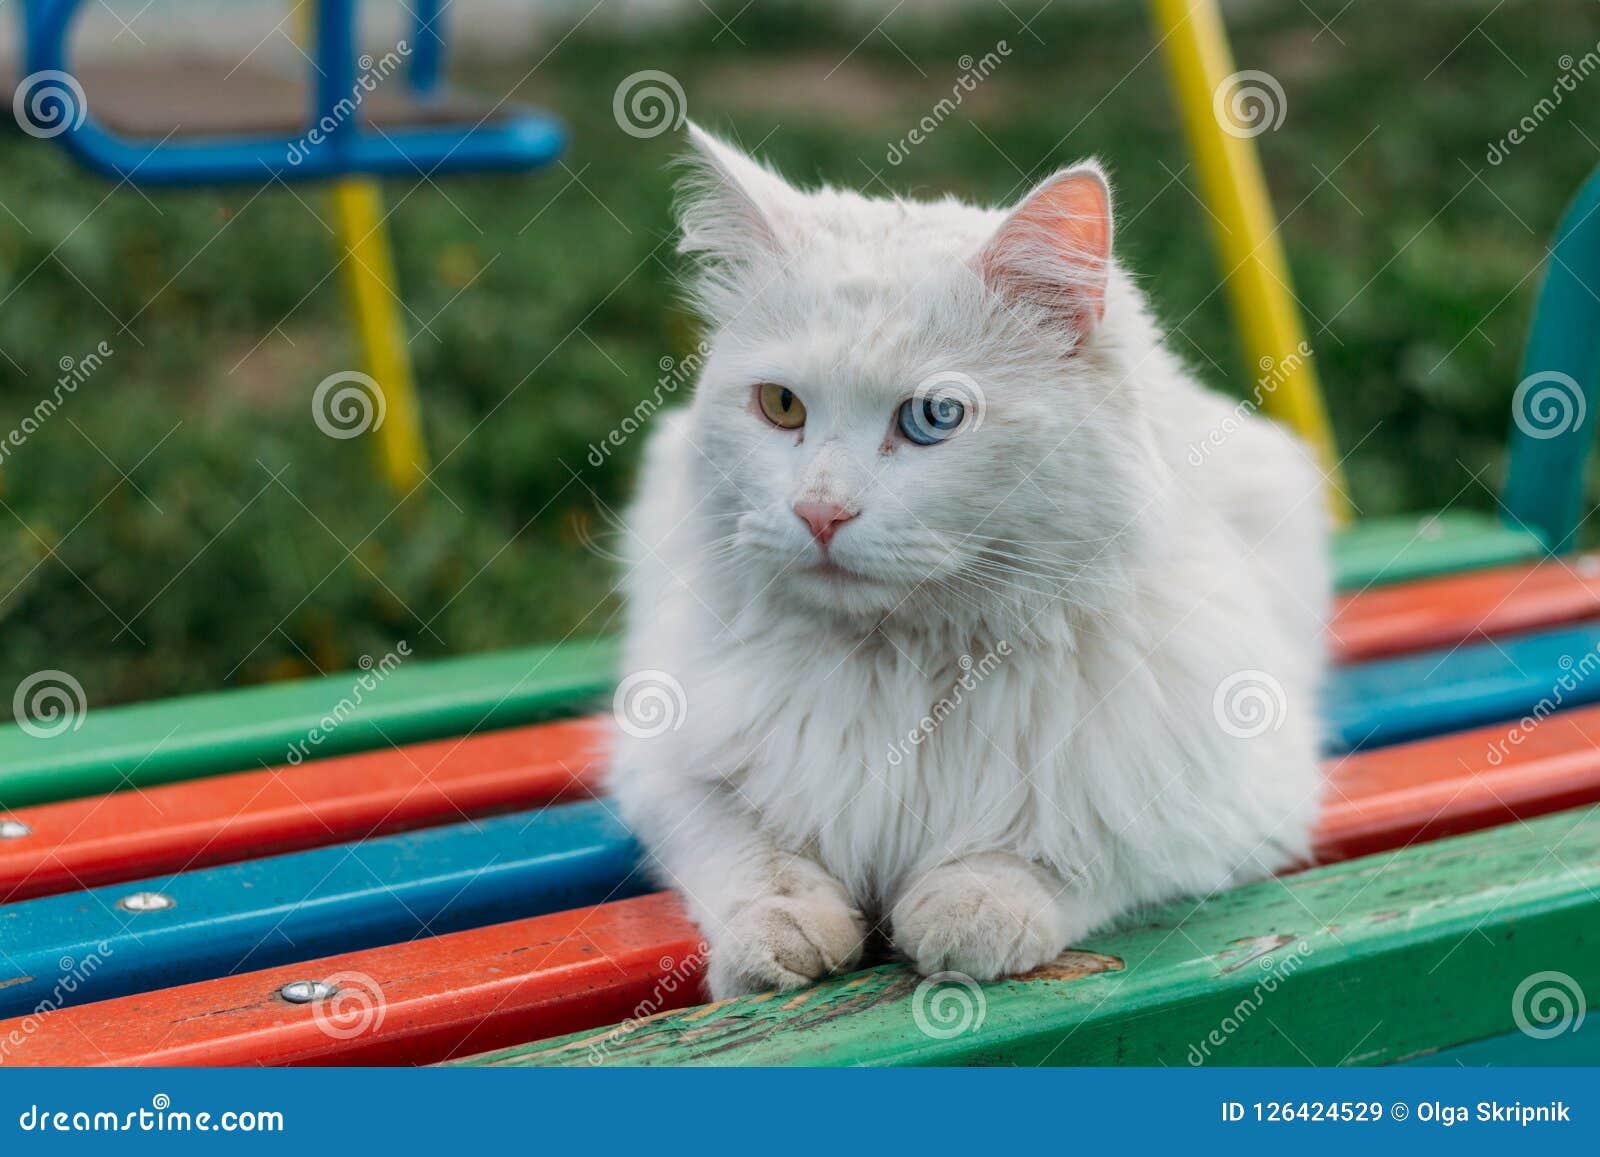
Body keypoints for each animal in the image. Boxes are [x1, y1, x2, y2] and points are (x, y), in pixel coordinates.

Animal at [604, 124, 1331, 998]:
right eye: (781, 406)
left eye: (935, 417)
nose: (819, 511)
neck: (902, 662)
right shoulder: (665, 763)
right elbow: (751, 855)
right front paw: (781, 939)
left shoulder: (1231, 798)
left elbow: (1066, 852)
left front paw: (969, 909)